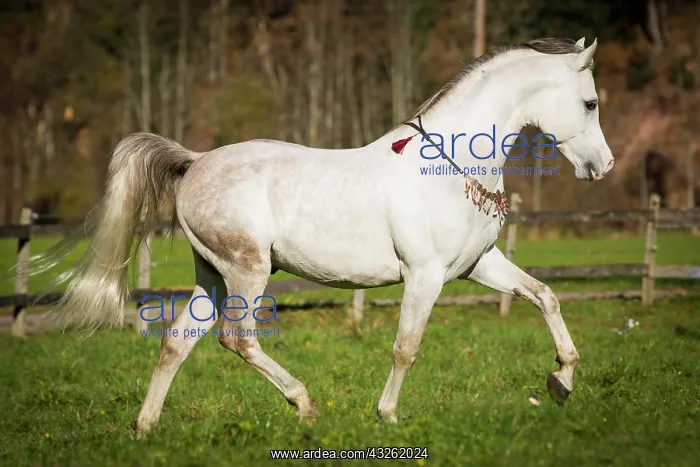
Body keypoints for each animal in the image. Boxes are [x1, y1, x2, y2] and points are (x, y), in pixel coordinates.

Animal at [29, 37, 614, 436]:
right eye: (590, 103)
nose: (603, 167)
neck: (449, 167)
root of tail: (195, 164)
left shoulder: (476, 266)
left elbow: (545, 295)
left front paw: (560, 383)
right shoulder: (424, 276)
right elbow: (406, 348)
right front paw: (388, 415)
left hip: (212, 275)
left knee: (178, 341)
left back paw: (145, 427)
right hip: (248, 270)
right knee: (237, 339)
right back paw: (304, 404)